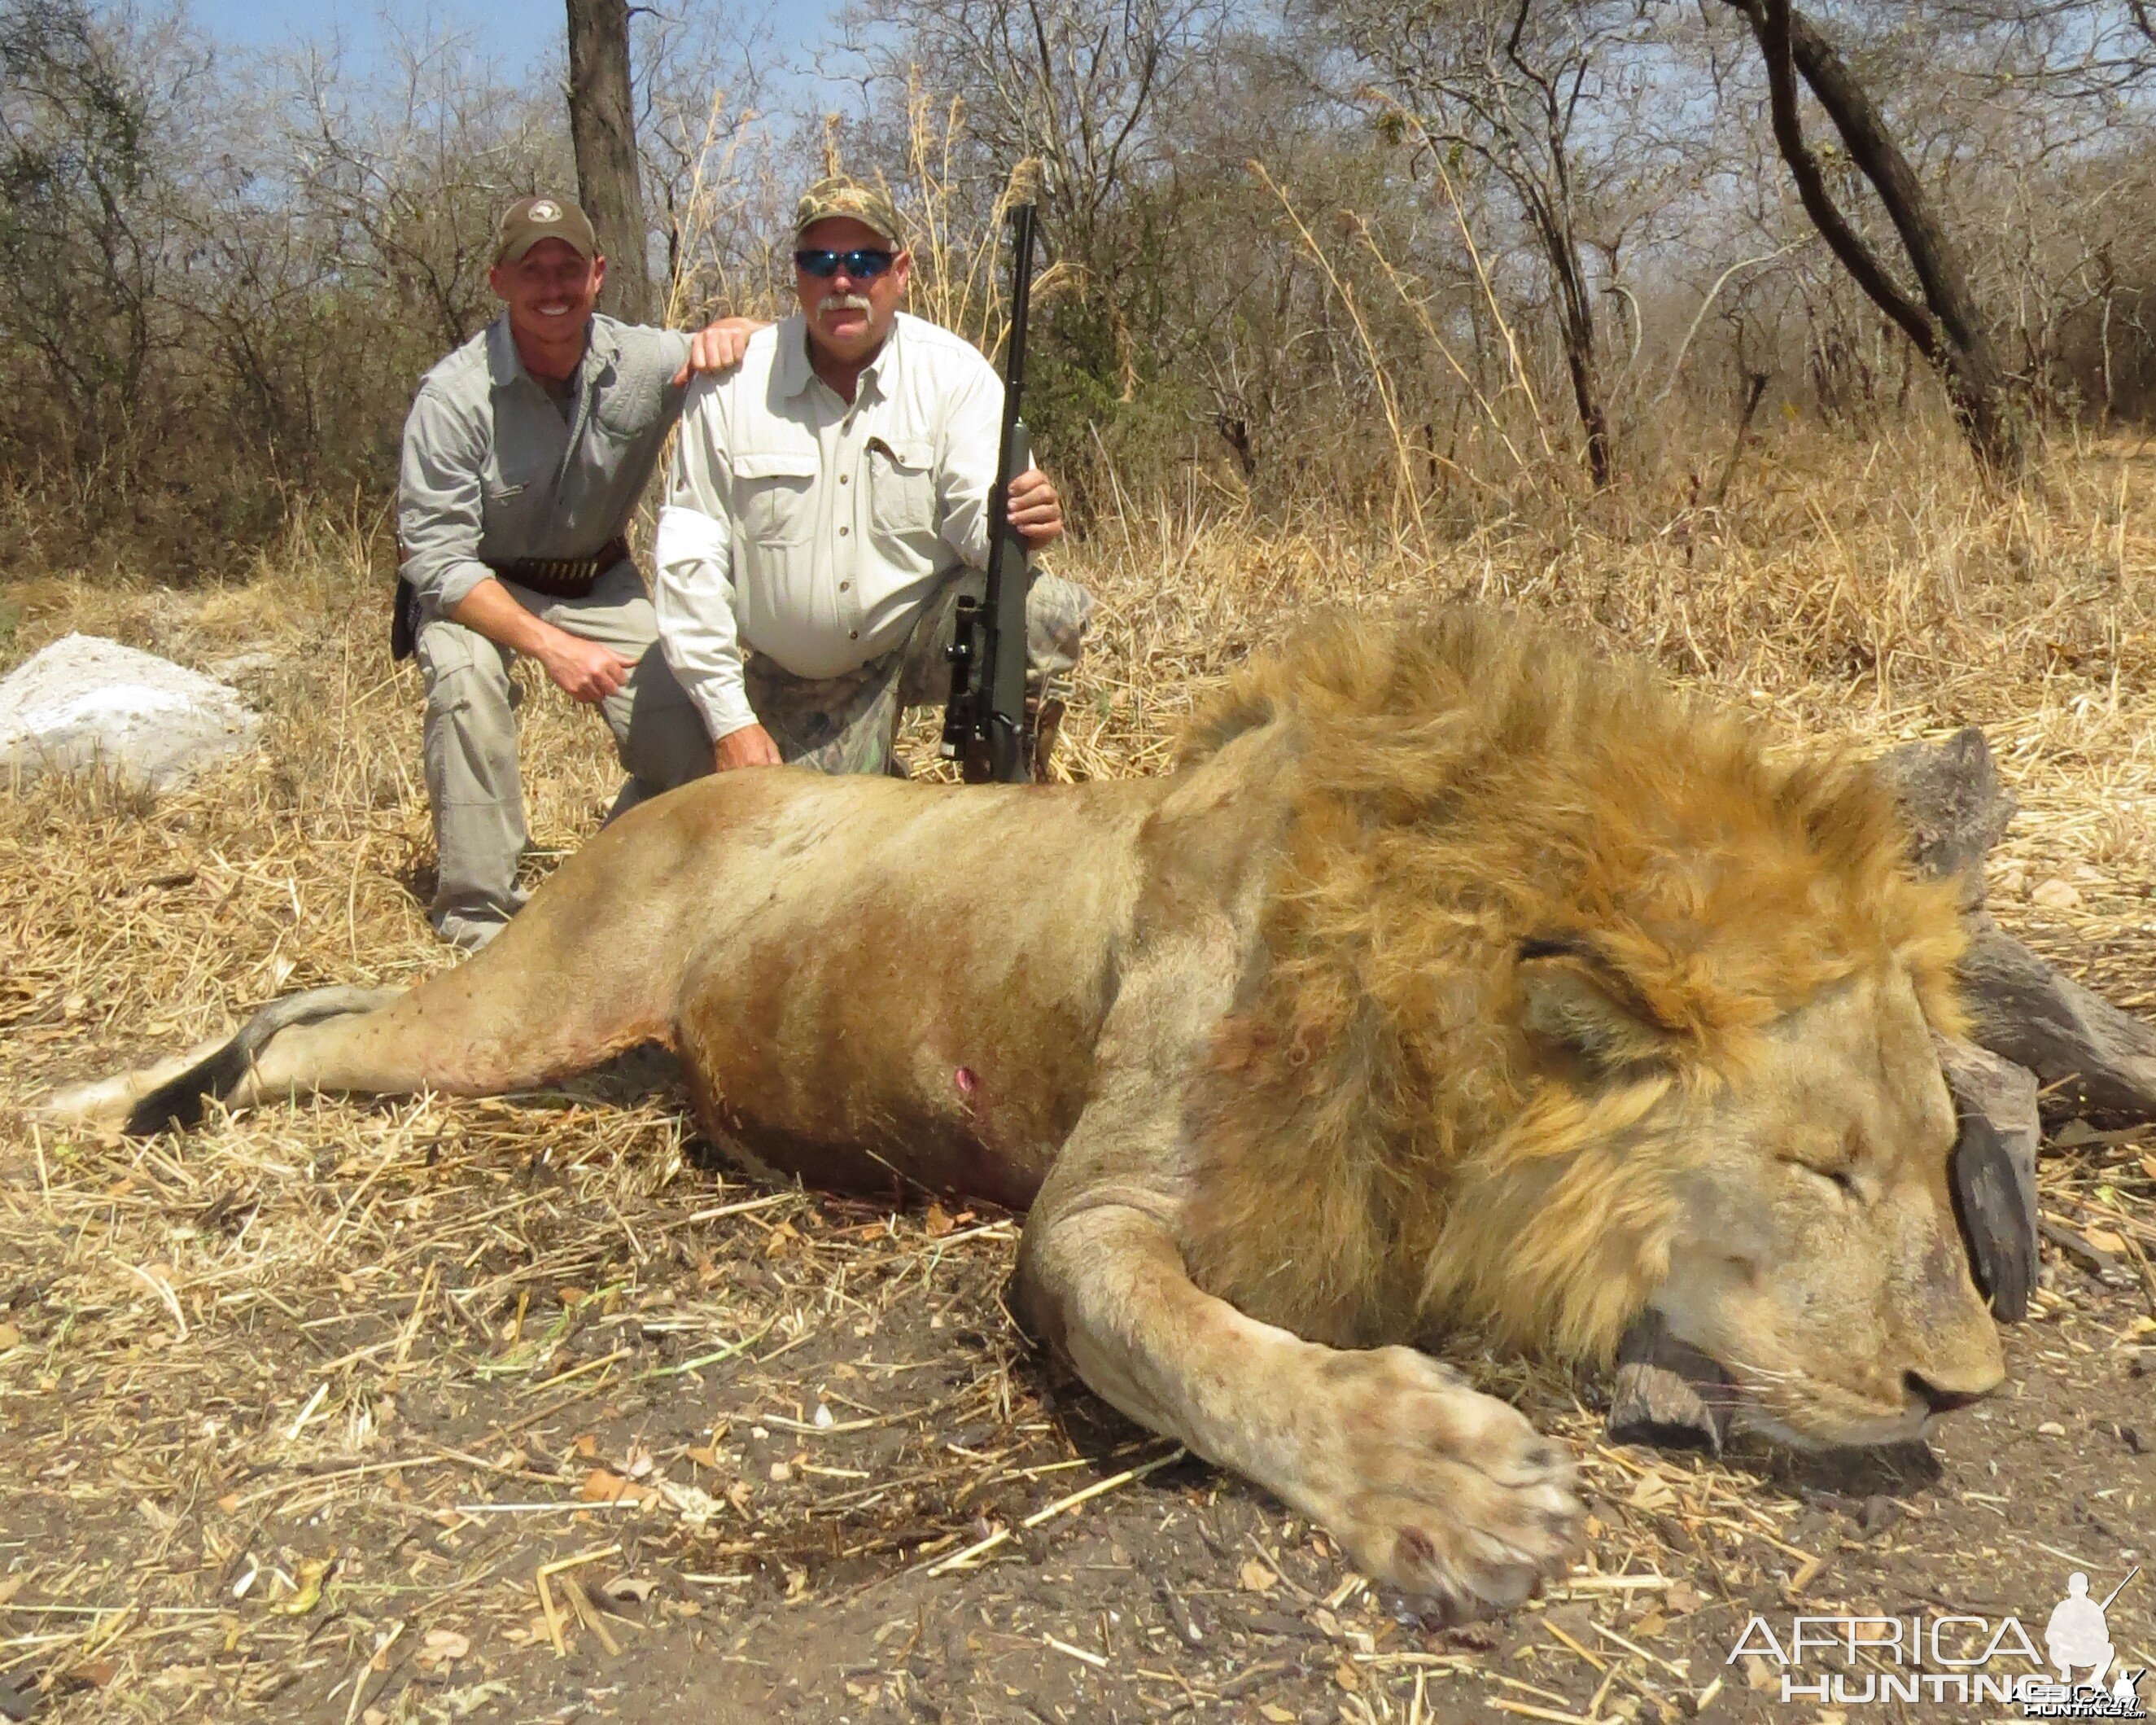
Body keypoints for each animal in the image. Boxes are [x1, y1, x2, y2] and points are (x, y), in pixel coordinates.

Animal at [46, 607, 2001, 1621]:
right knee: (308, 1034)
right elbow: (1197, 1350)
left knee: (327, 1001)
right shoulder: (1088, 1218)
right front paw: (1442, 1482)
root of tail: (663, 800)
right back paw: (112, 1105)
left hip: (590, 1045)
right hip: (527, 1004)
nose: (1960, 1392)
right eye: (1818, 1171)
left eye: (1923, 1165)